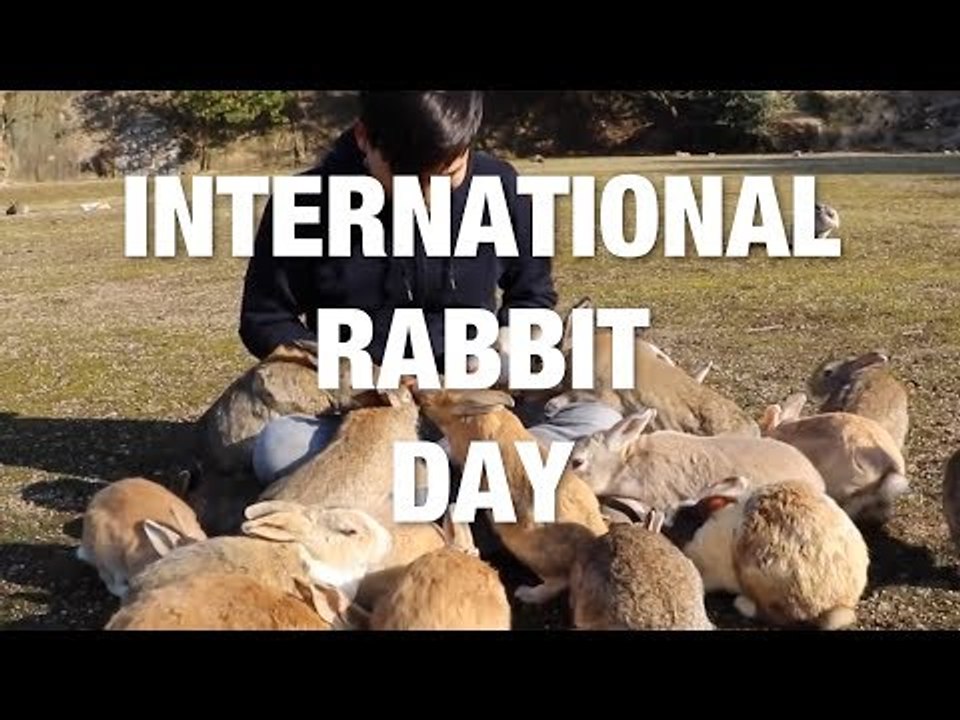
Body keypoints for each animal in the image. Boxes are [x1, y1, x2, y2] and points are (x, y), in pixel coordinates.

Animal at [414, 388, 607, 605]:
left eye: (430, 398)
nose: (417, 395)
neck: (472, 417)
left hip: (523, 548)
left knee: (557, 582)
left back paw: (525, 593)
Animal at [660, 476, 868, 630]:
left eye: (680, 520)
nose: (662, 528)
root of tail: (837, 604)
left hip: (758, 573)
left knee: (777, 616)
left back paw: (742, 604)